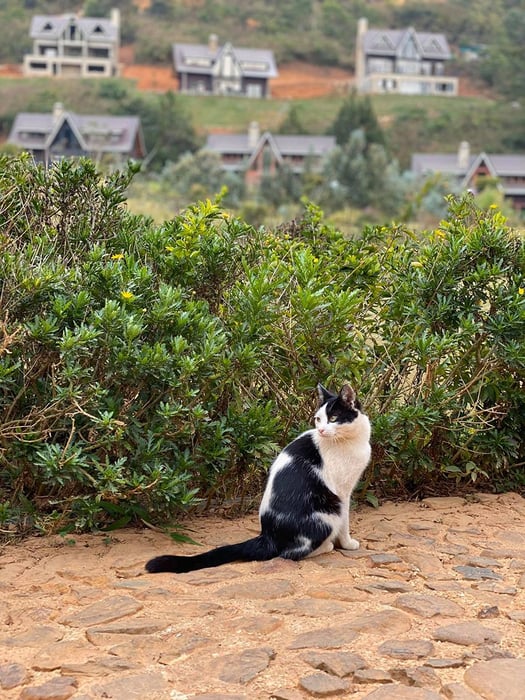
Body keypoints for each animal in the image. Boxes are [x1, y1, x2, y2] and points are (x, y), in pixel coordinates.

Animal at [145, 382, 370, 576]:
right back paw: (326, 546)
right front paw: (347, 543)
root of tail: (267, 535)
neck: (351, 441)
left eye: (333, 418)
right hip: (328, 511)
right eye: (318, 419)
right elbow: (345, 522)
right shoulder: (342, 491)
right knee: (289, 553)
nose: (321, 430)